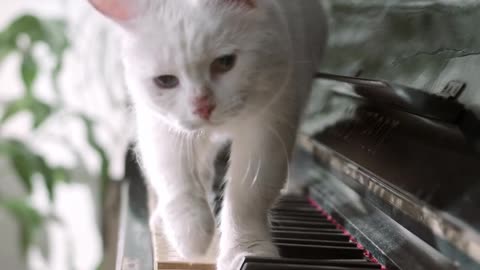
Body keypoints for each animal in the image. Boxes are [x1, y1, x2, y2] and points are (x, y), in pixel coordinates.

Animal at [88, 1, 328, 268]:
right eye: (165, 81)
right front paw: (191, 237)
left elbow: (248, 197)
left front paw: (246, 250)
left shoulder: (269, 126)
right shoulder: (162, 127)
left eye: (225, 62)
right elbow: (177, 179)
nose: (203, 107)